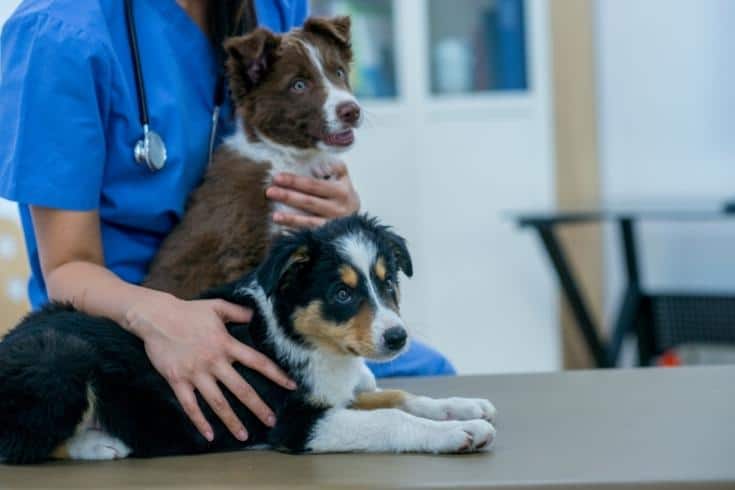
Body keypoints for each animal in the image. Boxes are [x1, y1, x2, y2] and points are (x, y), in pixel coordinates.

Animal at [0, 214, 498, 464]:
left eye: (388, 282)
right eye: (341, 294)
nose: (396, 338)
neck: (306, 338)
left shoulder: (333, 393)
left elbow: (399, 395)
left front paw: (464, 407)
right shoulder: (296, 423)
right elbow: (389, 419)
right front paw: (457, 434)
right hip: (60, 360)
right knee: (19, 445)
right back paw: (99, 444)